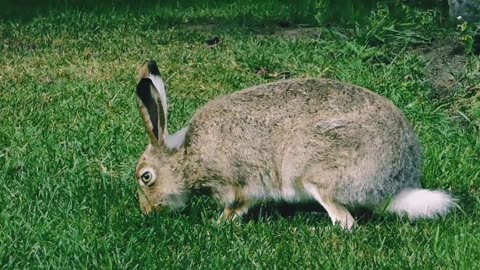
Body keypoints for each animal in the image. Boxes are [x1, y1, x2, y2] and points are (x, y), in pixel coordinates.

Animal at [133, 60, 456, 230]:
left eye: (146, 177)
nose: (148, 213)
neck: (188, 157)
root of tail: (395, 183)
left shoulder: (239, 183)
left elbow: (237, 204)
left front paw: (218, 224)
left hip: (314, 170)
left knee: (345, 221)